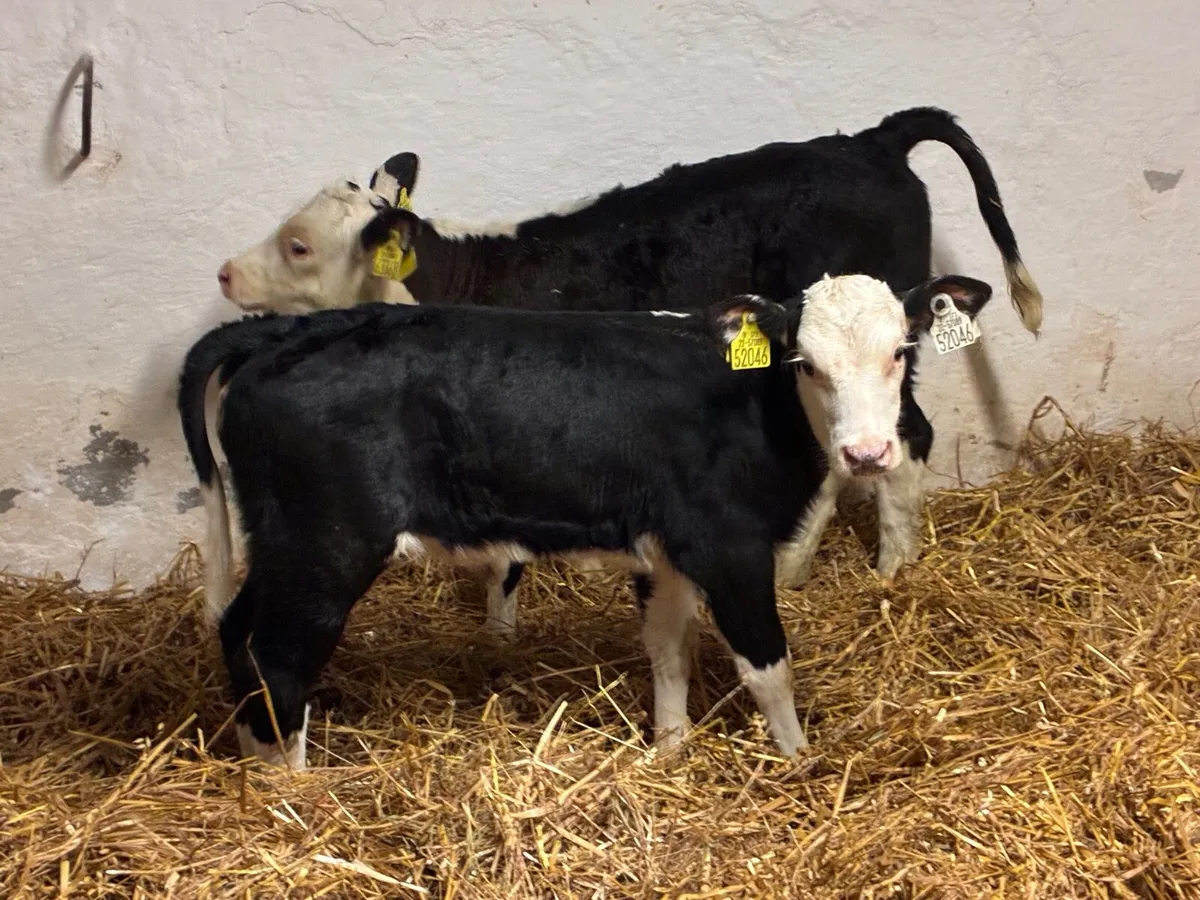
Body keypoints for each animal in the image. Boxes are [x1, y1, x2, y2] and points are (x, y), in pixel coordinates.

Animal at [179, 271, 995, 770]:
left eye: (901, 351)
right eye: (805, 363)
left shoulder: (667, 550)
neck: (757, 405)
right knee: (279, 656)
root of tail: (290, 330)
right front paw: (798, 764)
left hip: (283, 541)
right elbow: (768, 667)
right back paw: (297, 792)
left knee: (237, 631)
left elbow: (668, 648)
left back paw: (258, 761)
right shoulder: (728, 546)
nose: (867, 453)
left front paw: (669, 749)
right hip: (327, 544)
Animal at [212, 106, 1043, 638]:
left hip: (887, 344)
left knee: (906, 440)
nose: (224, 272)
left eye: (297, 244)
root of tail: (873, 140)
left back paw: (893, 570)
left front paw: (502, 635)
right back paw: (804, 565)